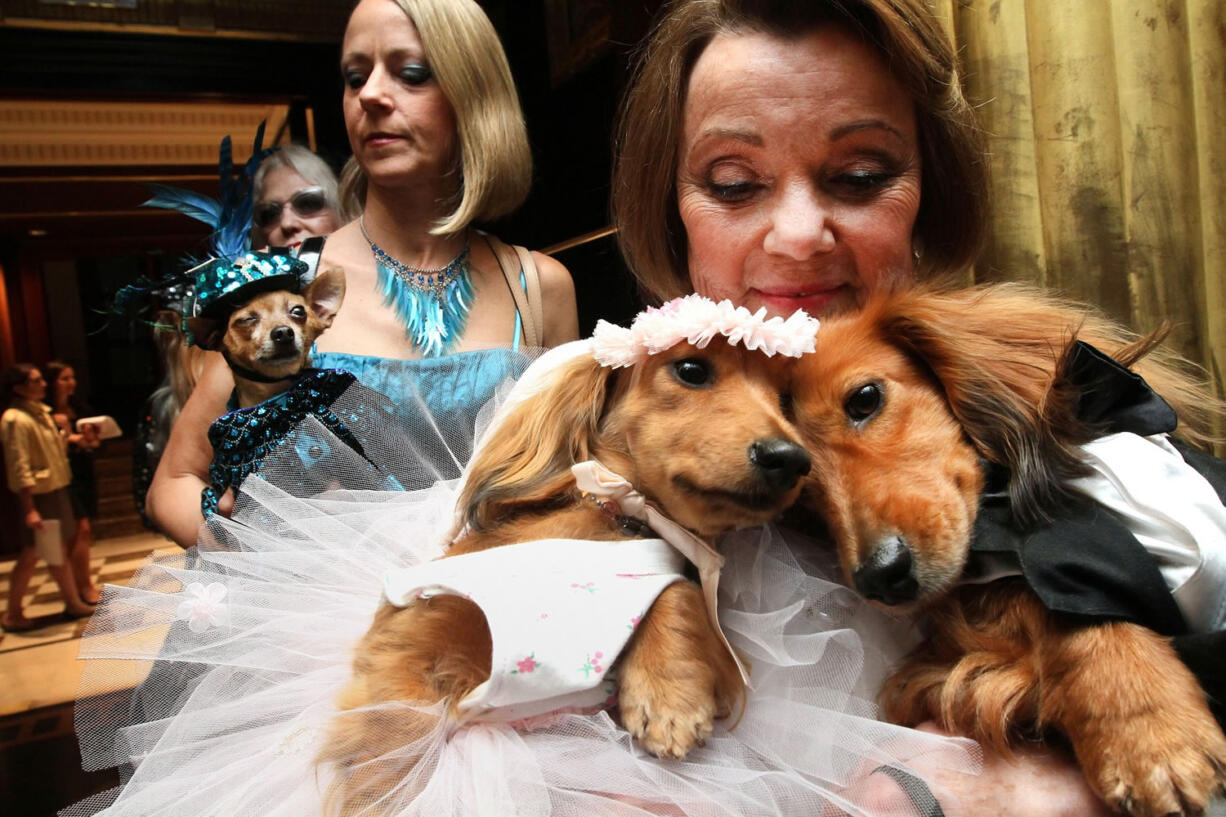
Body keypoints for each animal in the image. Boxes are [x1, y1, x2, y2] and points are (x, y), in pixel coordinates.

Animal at [321, 336, 809, 809]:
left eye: (786, 398)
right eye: (691, 370)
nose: (791, 459)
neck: (615, 521)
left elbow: (676, 586)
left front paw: (669, 694)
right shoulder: (405, 645)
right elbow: (395, 749)